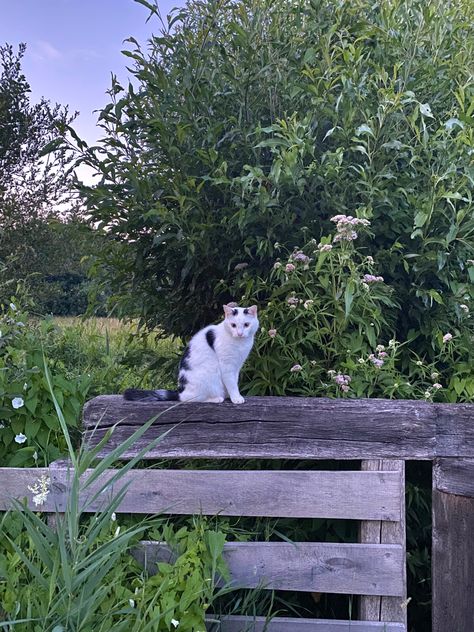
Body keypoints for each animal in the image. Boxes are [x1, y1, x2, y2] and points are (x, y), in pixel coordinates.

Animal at [122, 304, 260, 404]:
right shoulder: (227, 366)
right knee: (192, 399)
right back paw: (217, 398)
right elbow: (231, 383)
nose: (240, 333)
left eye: (246, 325)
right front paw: (236, 398)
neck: (240, 344)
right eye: (233, 325)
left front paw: (231, 395)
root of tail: (180, 392)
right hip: (209, 375)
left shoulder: (237, 366)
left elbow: (234, 381)